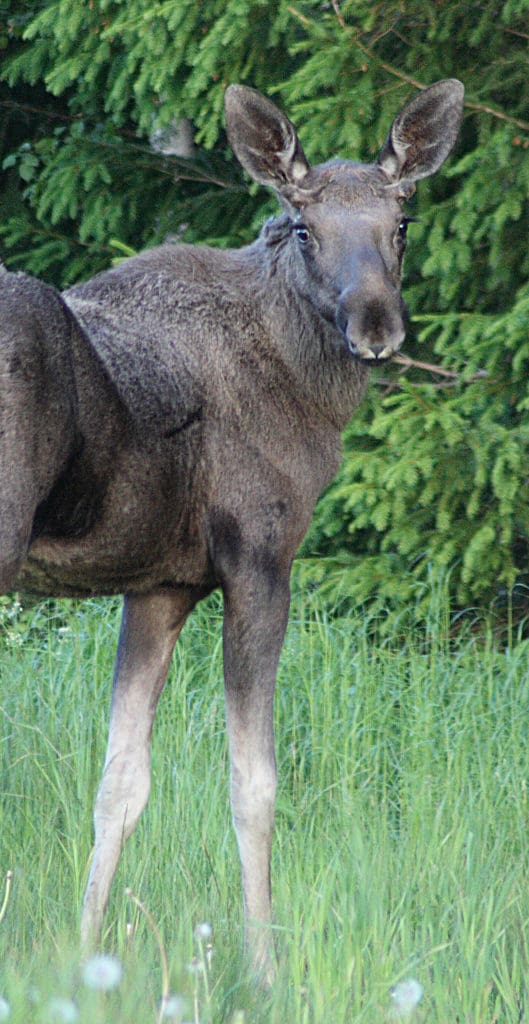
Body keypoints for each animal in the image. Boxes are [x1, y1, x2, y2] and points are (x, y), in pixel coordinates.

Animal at [0, 79, 462, 974]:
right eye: (304, 227)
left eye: (400, 223)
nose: (376, 327)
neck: (308, 387)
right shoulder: (259, 558)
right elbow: (255, 785)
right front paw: (263, 968)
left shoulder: (161, 585)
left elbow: (120, 783)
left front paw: (84, 958)